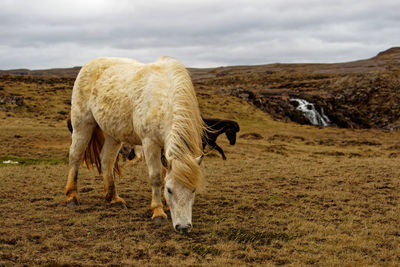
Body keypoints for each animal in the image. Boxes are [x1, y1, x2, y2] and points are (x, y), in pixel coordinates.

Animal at [65, 57, 205, 234]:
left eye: (193, 190)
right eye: (169, 190)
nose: (183, 227)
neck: (164, 98)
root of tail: (89, 65)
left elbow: (165, 173)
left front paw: (165, 206)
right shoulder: (149, 143)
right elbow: (156, 177)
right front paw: (158, 212)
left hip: (113, 135)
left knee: (106, 160)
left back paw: (113, 198)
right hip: (82, 125)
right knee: (75, 157)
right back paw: (71, 197)